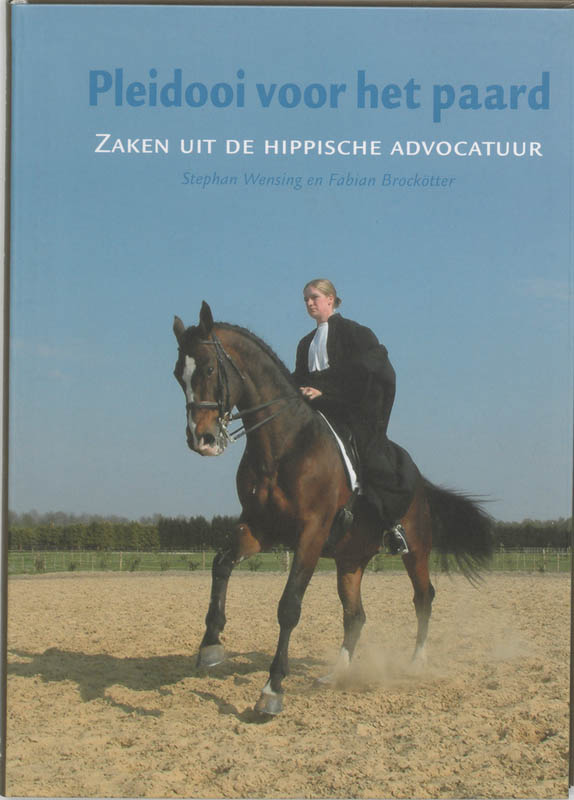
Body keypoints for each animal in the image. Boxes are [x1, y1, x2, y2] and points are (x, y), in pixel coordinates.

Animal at [172, 301, 493, 716]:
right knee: (355, 615)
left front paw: (272, 689)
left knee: (423, 598)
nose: (202, 439)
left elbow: (289, 606)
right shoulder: (260, 528)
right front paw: (211, 645)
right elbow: (220, 564)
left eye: (210, 369)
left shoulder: (311, 533)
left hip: (417, 550)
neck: (285, 444)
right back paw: (336, 673)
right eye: (178, 375)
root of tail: (421, 482)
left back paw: (416, 663)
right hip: (350, 561)